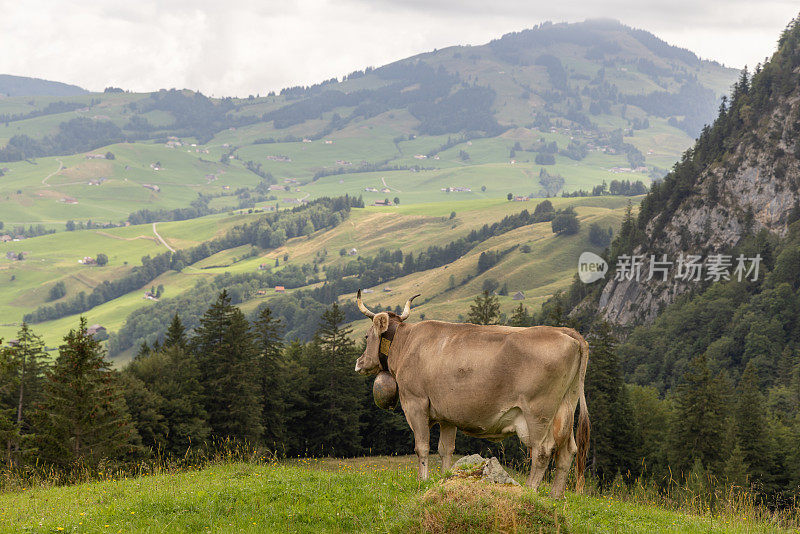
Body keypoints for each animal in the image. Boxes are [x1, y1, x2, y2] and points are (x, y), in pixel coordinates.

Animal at [354, 292, 588, 500]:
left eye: (366, 336)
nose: (359, 362)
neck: (406, 343)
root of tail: (567, 332)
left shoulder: (415, 403)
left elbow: (422, 447)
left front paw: (423, 481)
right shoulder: (447, 415)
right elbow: (445, 449)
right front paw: (445, 478)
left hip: (538, 412)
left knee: (542, 450)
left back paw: (530, 490)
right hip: (565, 408)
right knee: (567, 450)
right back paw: (556, 496)